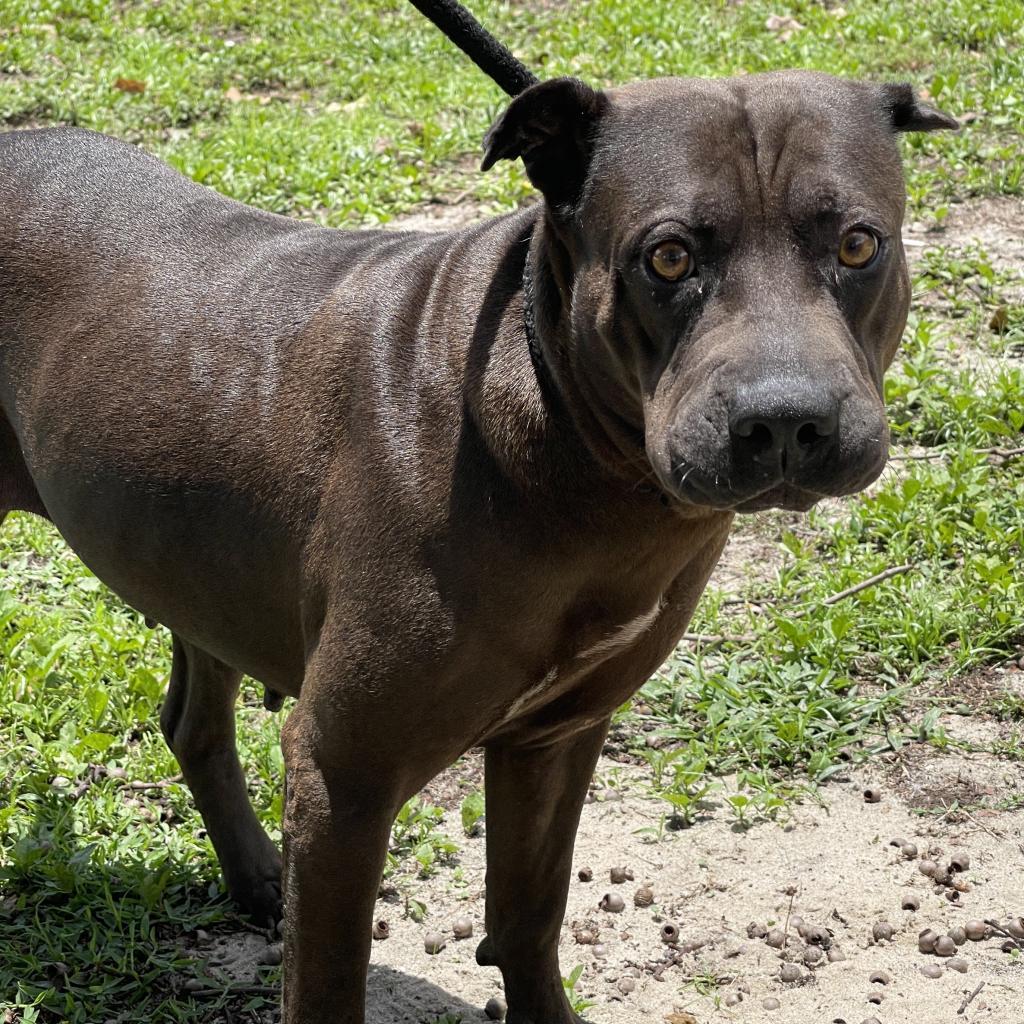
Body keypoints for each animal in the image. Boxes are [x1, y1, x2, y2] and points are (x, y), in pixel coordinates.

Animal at [4, 59, 954, 1019]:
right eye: (669, 256)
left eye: (859, 246)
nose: (786, 420)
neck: (576, 451)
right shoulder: (343, 775)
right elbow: (330, 984)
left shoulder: (558, 734)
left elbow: (531, 915)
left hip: (198, 562)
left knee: (193, 720)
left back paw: (255, 879)